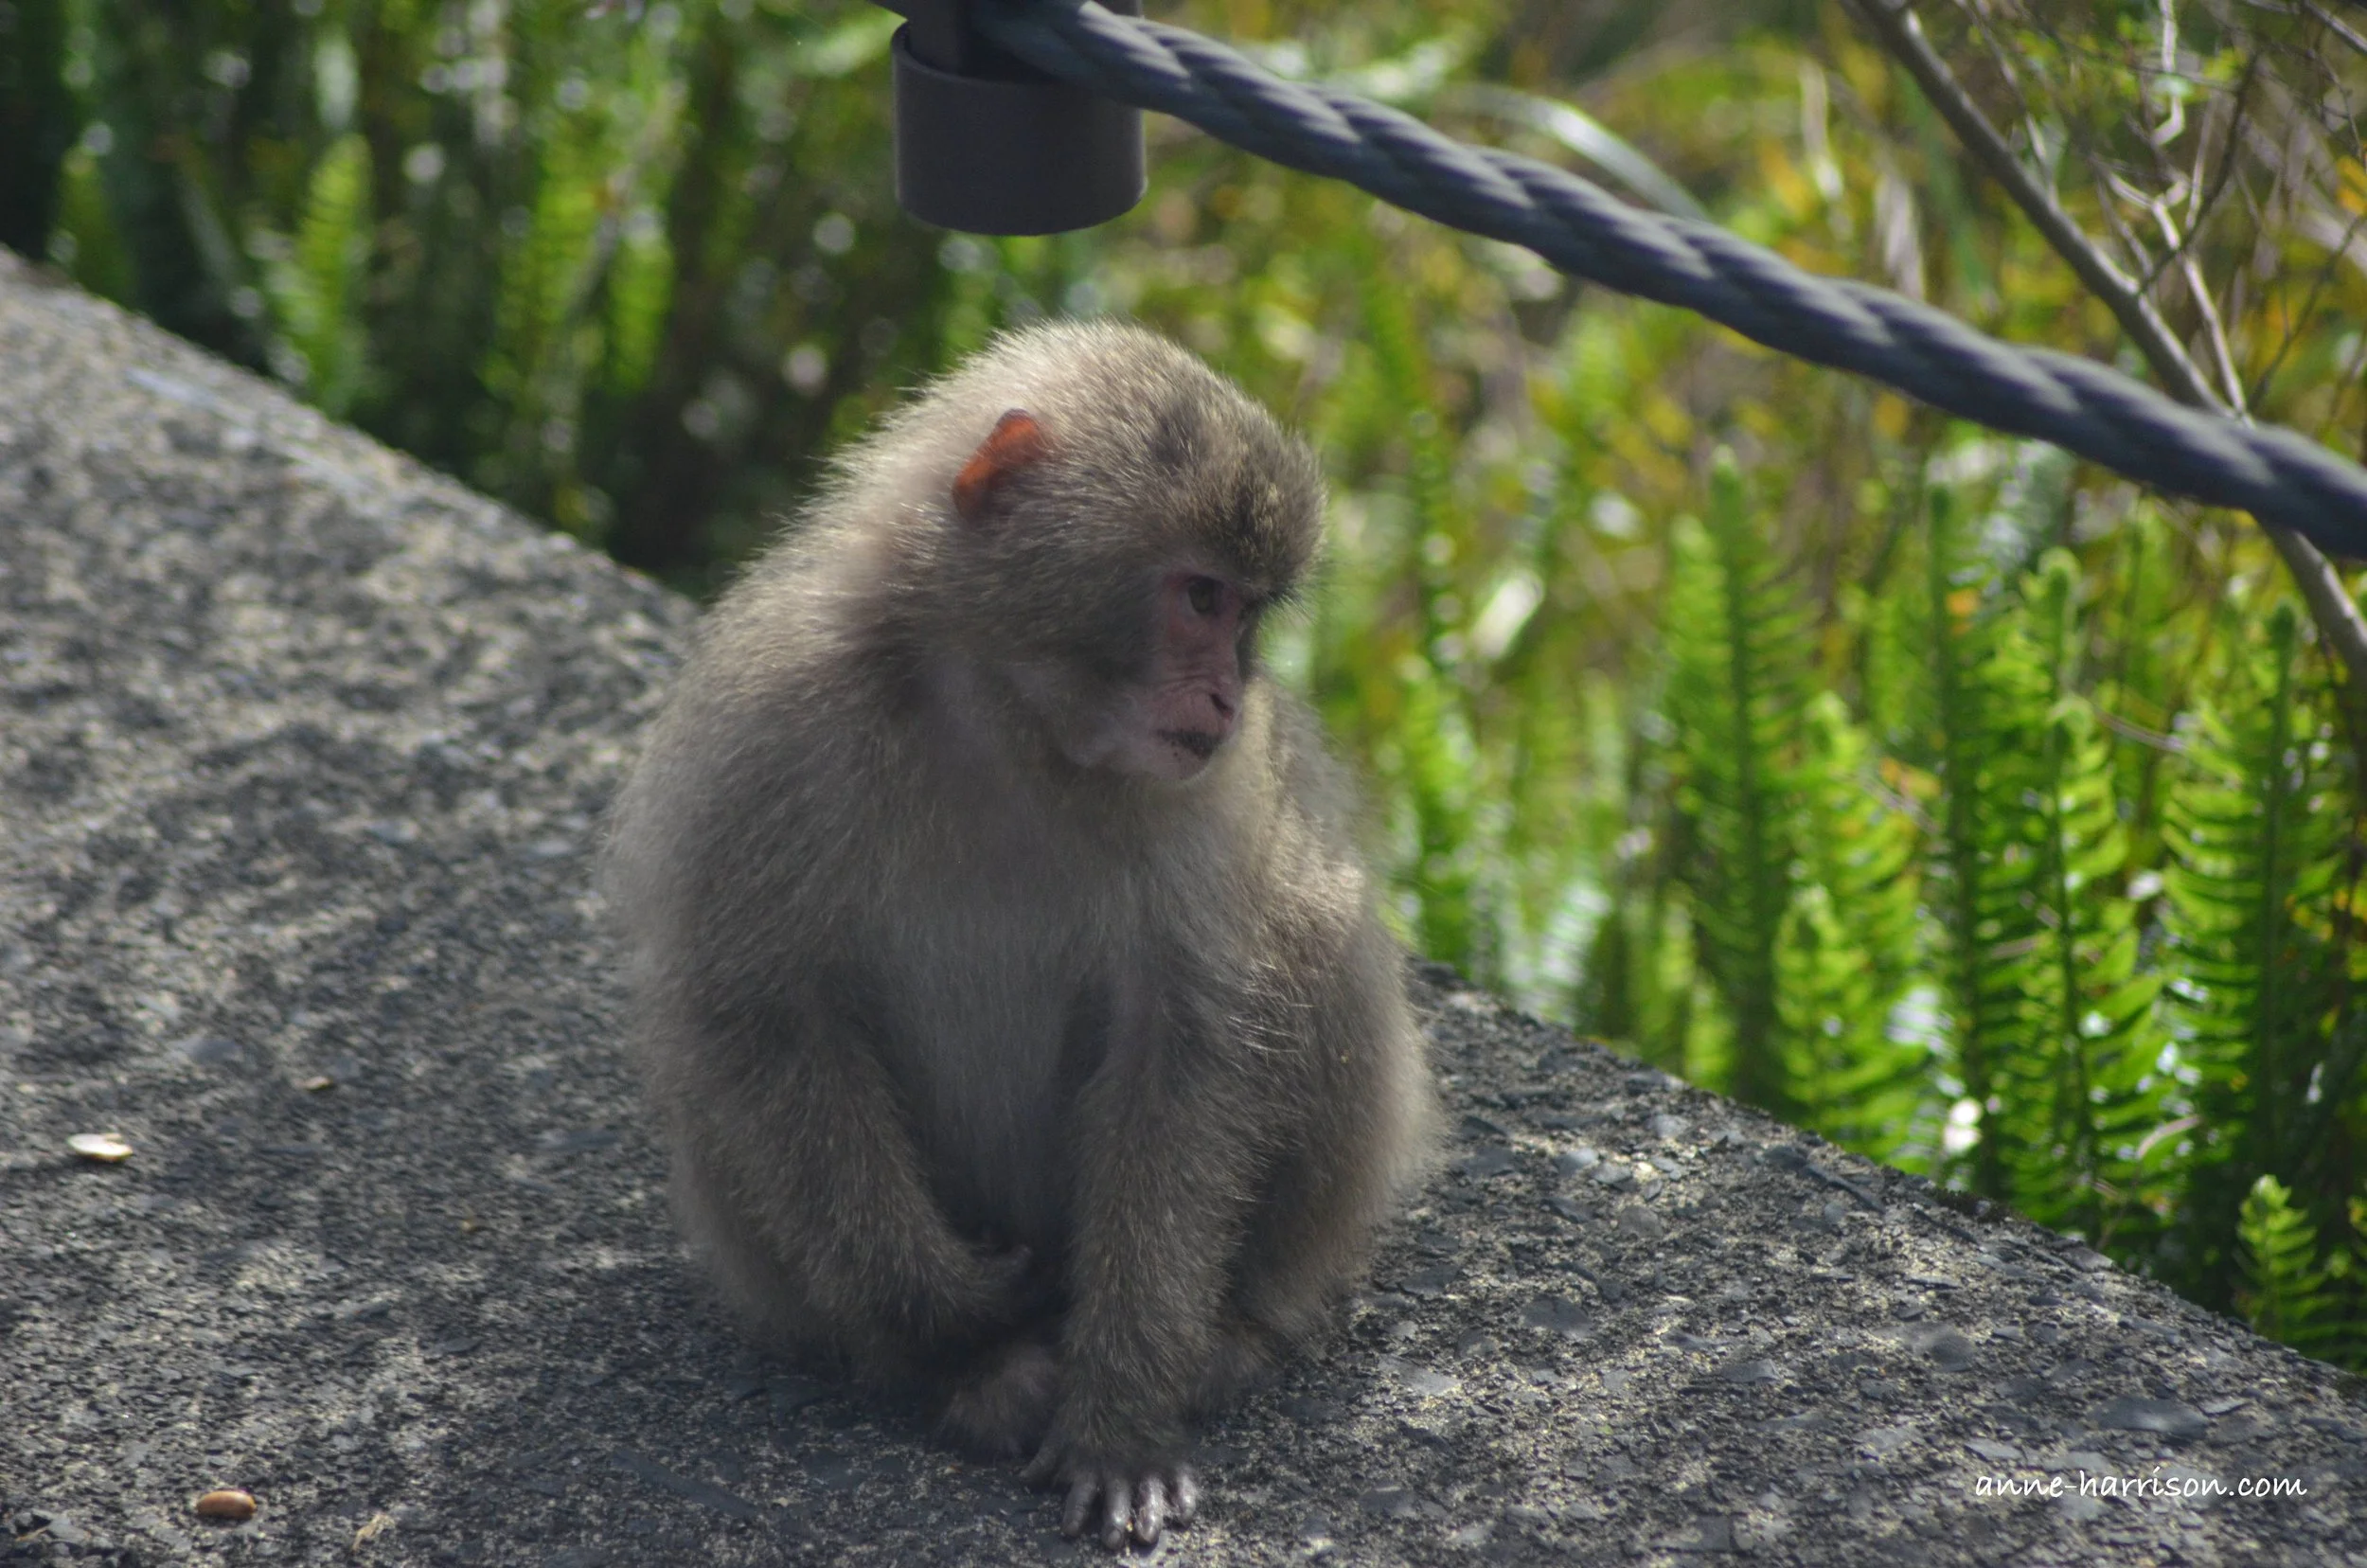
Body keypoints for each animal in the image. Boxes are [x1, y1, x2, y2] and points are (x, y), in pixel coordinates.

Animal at [601, 320, 1436, 1550]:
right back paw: (972, 1369)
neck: (1011, 719)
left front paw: (1122, 1418)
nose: (1231, 699)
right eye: (1201, 597)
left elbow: (1179, 1054)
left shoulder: (1203, 800)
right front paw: (948, 1311)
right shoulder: (779, 716)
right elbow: (762, 1009)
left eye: (1249, 615)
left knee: (1315, 939)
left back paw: (1229, 1339)